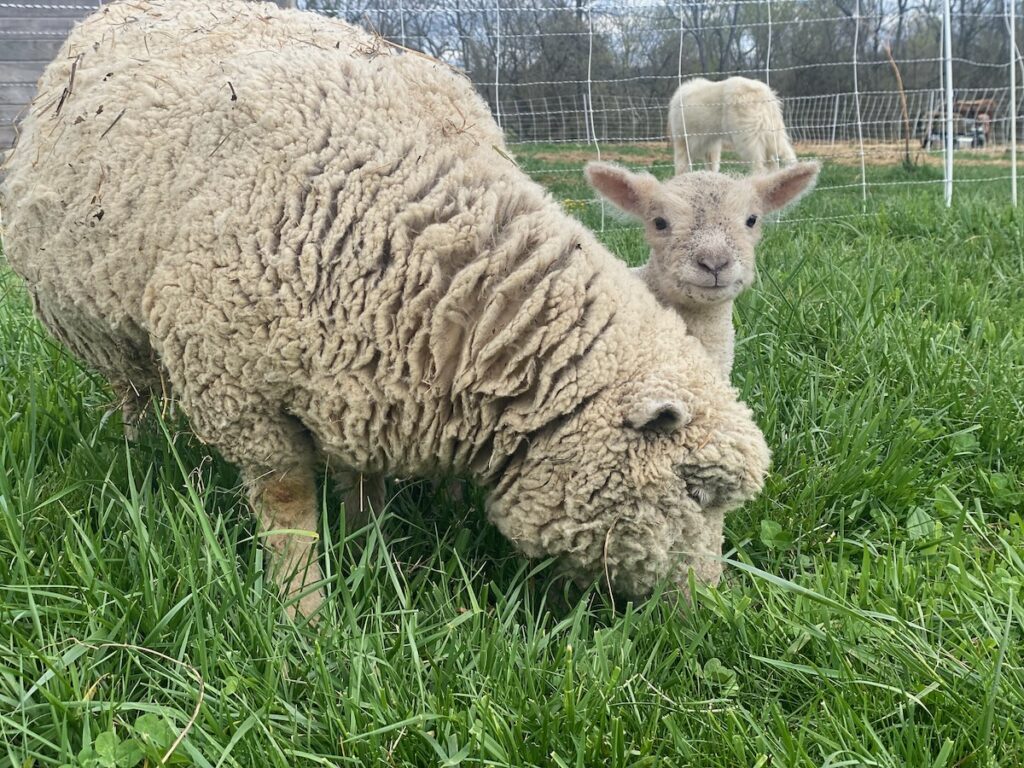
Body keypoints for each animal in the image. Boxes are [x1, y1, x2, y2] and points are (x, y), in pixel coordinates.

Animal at [0, 0, 770, 618]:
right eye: (696, 491)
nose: (716, 607)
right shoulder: (238, 387)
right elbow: (286, 504)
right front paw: (303, 612)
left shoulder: (367, 376)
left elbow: (360, 478)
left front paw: (372, 549)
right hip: (98, 326)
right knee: (132, 393)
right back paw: (141, 461)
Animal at [667, 76, 802, 176]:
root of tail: (761, 91)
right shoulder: (711, 144)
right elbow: (712, 165)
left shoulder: (682, 140)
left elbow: (681, 166)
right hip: (772, 133)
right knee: (780, 159)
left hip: (747, 138)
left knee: (759, 166)